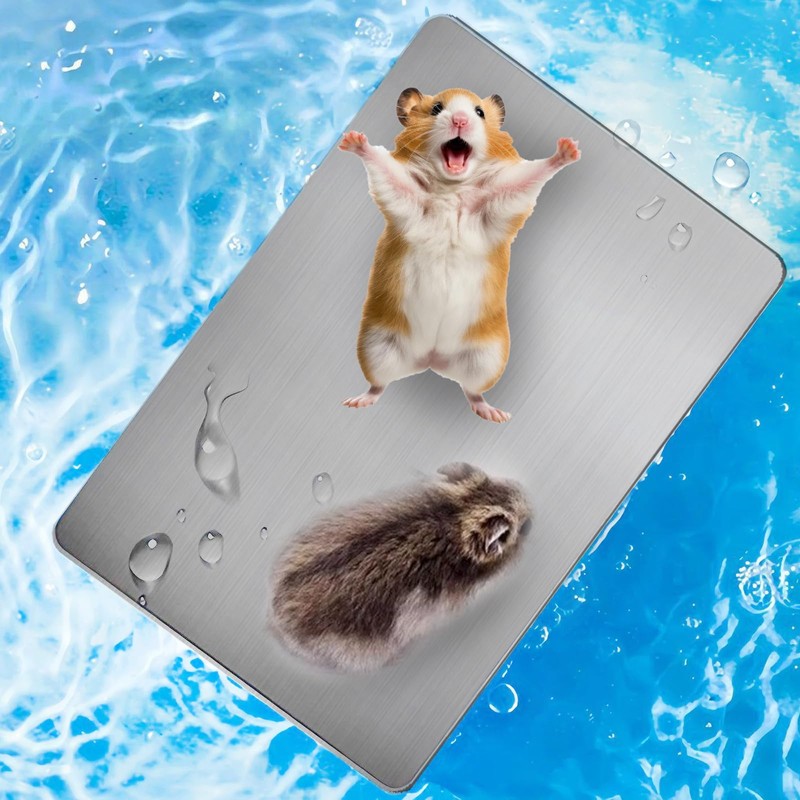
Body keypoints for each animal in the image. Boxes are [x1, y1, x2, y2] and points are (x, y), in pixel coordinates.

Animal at [339, 87, 581, 423]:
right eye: (437, 108)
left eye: (479, 112)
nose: (460, 120)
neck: (452, 188)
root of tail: (431, 359)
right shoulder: (405, 195)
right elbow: (385, 169)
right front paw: (351, 139)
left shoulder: (502, 199)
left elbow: (531, 174)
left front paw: (569, 149)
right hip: (376, 345)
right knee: (379, 384)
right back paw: (356, 402)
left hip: (487, 357)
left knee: (472, 390)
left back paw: (495, 414)